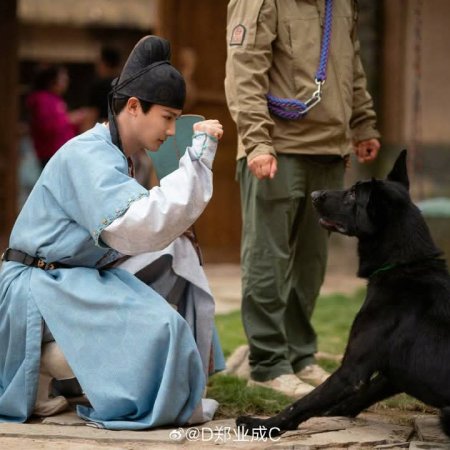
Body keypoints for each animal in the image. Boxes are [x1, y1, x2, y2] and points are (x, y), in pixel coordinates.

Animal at [236, 150, 450, 436]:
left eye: (352, 195)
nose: (314, 194)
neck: (404, 266)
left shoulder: (352, 370)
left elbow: (303, 402)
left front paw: (263, 425)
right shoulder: (389, 374)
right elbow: (362, 394)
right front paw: (336, 411)